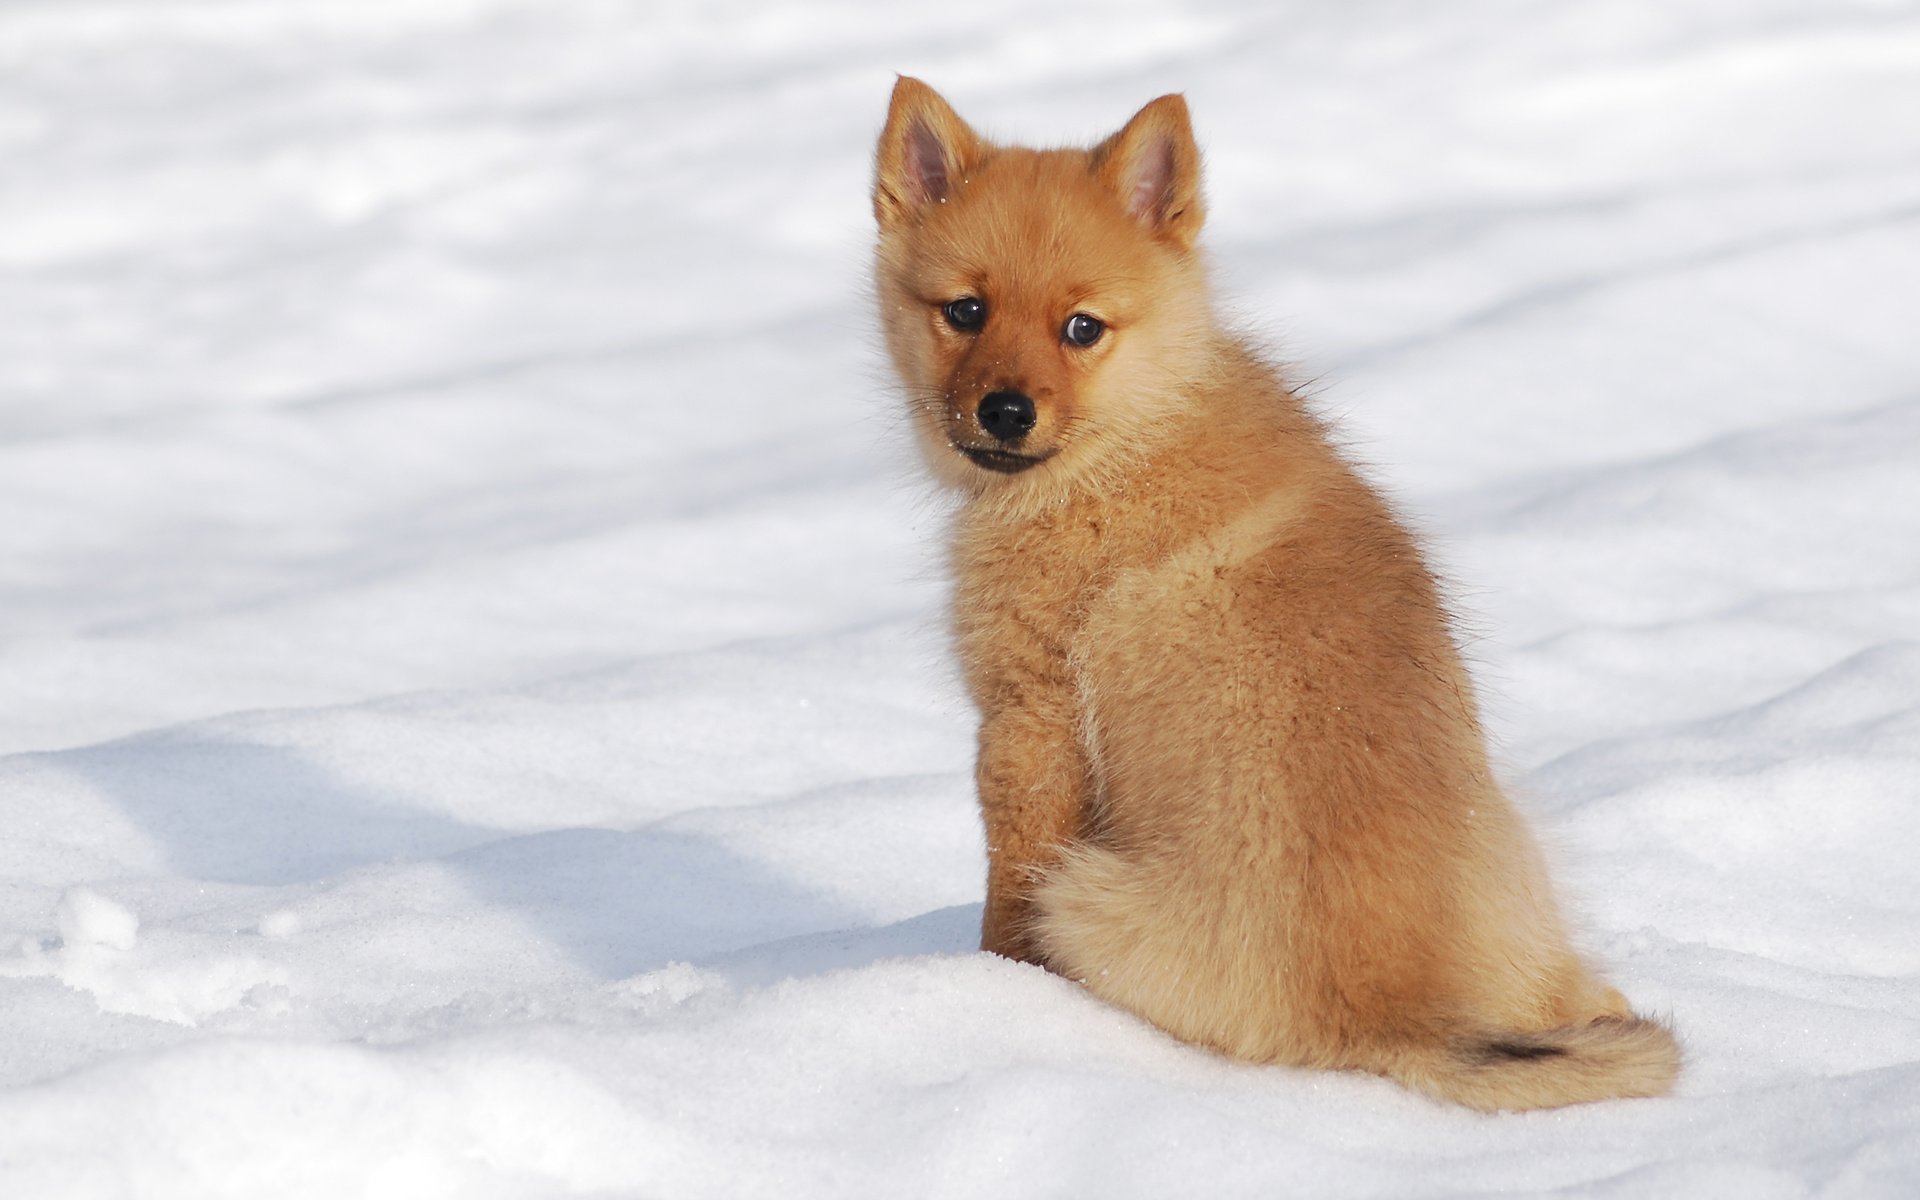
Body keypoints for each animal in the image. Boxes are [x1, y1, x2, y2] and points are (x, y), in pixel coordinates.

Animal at [875, 72, 1681, 1105]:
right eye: (966, 311)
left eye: (1081, 328)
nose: (1004, 412)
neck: (1132, 440)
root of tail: (1399, 1013)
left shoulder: (1029, 722)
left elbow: (1004, 905)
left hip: (1088, 896)